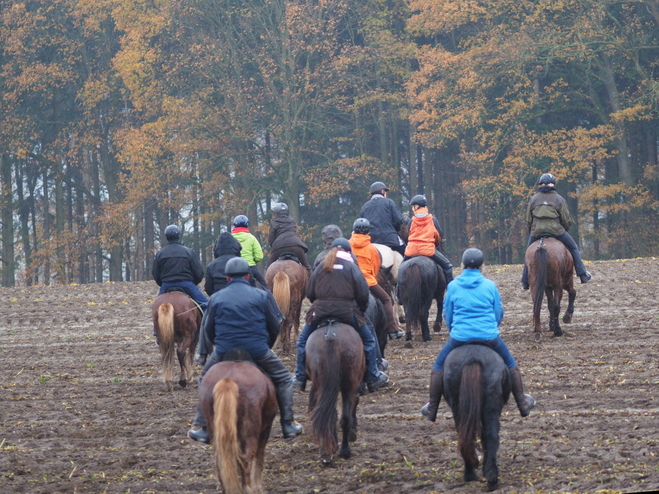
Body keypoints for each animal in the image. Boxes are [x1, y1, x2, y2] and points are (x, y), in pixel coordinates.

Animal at [197, 352, 278, 494]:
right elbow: (259, 457)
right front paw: (258, 487)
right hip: (250, 430)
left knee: (220, 461)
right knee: (247, 458)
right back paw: (249, 489)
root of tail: (228, 379)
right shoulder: (265, 429)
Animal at [306, 320, 366, 464]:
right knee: (344, 417)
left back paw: (328, 451)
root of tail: (330, 336)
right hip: (348, 384)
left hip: (321, 384)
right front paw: (353, 431)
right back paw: (344, 450)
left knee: (328, 415)